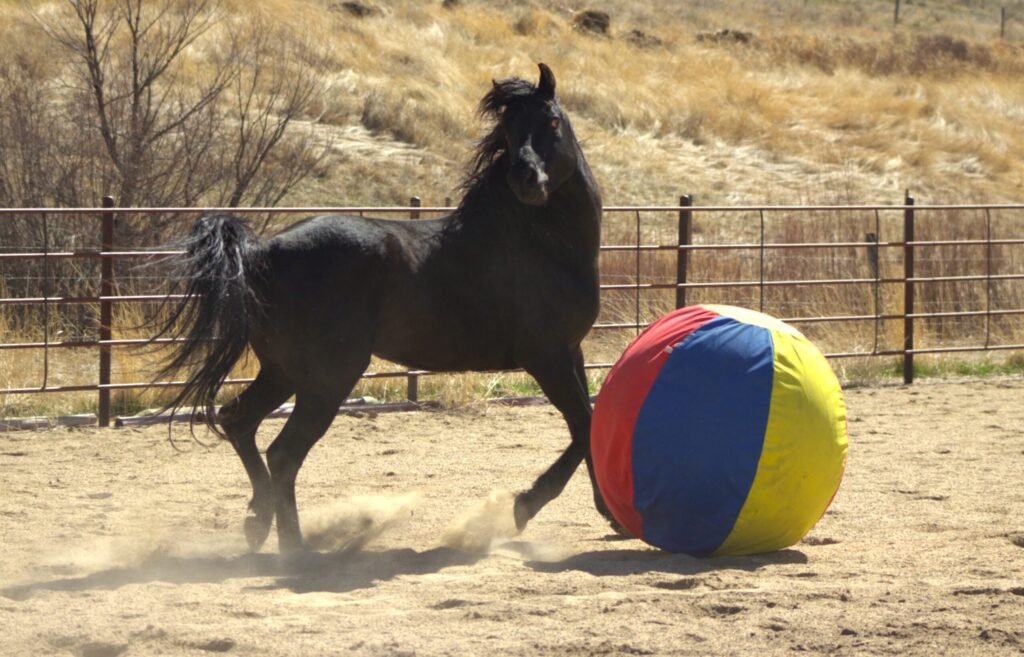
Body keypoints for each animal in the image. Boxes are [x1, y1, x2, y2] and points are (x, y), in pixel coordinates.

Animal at [155, 63, 612, 552]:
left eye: (551, 121)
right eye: (508, 130)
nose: (525, 179)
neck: (540, 243)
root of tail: (264, 253)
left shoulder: (570, 351)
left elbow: (588, 423)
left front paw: (610, 514)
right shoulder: (545, 355)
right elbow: (584, 424)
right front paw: (525, 505)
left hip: (284, 371)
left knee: (238, 420)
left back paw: (257, 522)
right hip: (329, 377)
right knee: (282, 454)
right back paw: (295, 549)